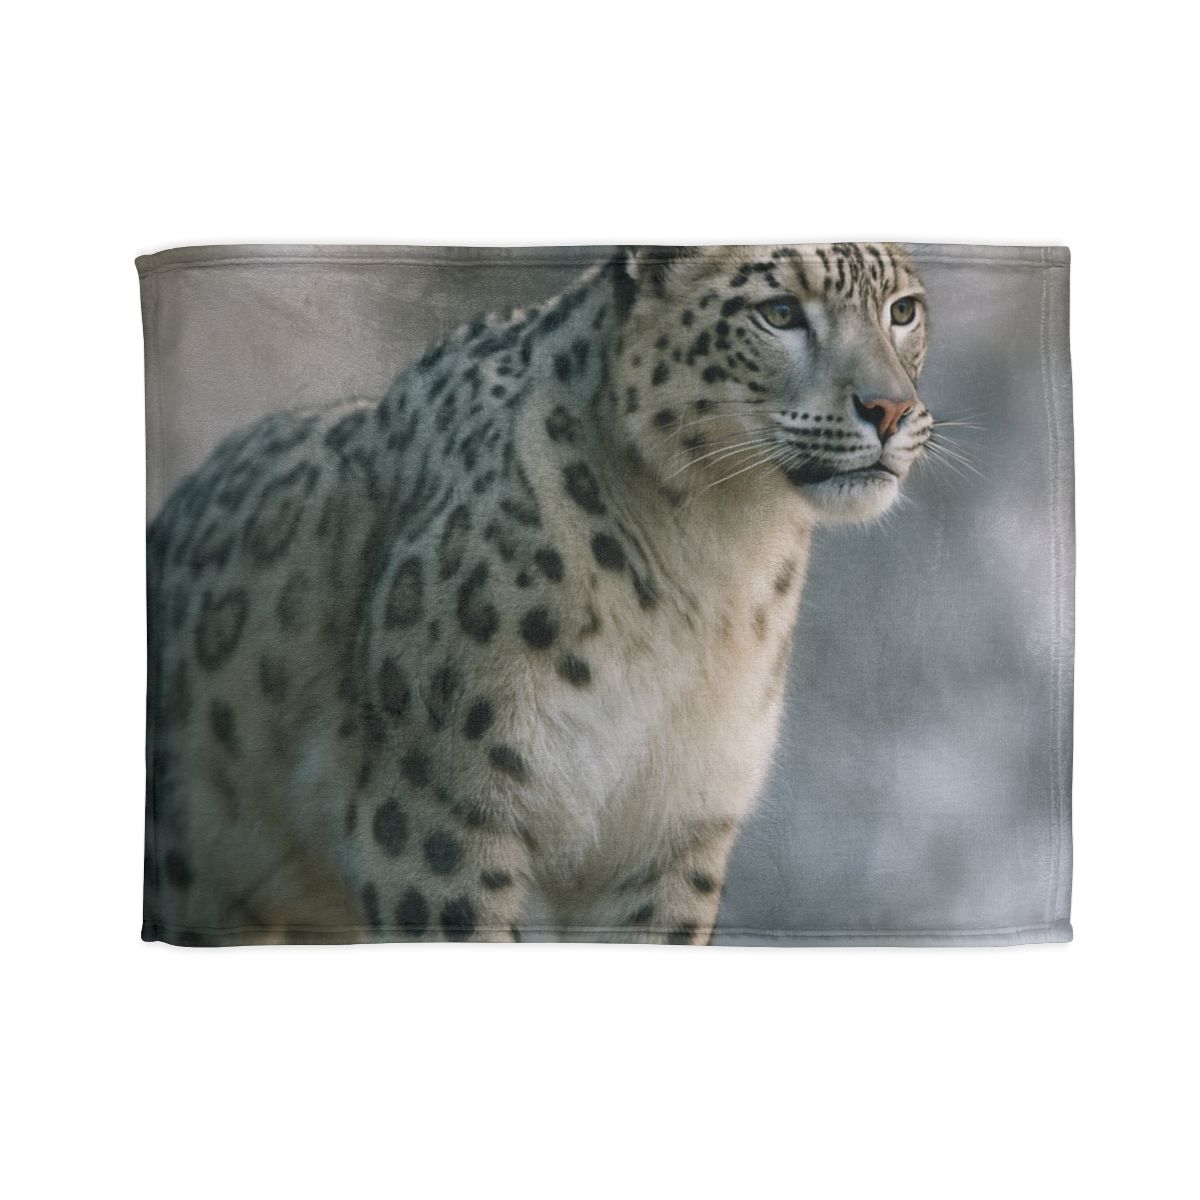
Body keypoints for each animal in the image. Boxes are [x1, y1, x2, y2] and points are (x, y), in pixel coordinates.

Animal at [143, 242, 932, 945]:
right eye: (779, 312)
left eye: (902, 310)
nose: (889, 410)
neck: (716, 559)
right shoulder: (438, 811)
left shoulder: (674, 830)